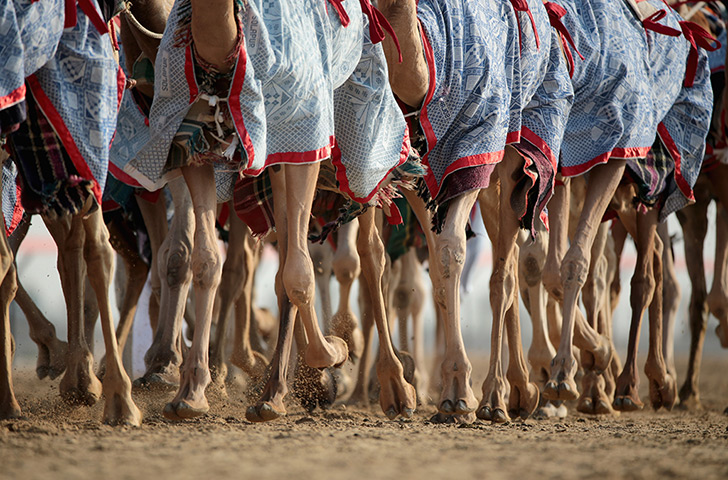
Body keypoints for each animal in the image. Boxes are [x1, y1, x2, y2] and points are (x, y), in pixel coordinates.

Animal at [376, 0, 576, 422]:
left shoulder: (475, 146)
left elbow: (454, 250)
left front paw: (459, 395)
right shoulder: (421, 173)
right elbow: (439, 267)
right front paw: (449, 394)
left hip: (515, 155)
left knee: (504, 274)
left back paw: (498, 397)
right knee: (508, 263)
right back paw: (519, 391)